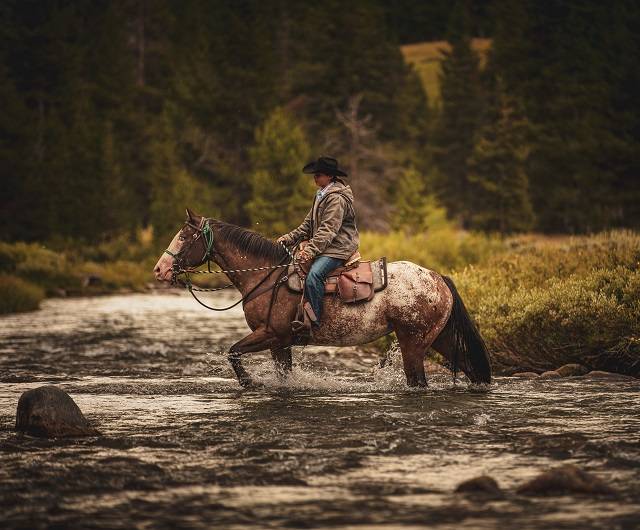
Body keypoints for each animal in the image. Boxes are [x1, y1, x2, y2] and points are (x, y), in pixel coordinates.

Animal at [152, 208, 492, 386]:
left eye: (184, 237)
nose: (159, 269)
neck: (266, 277)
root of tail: (438, 278)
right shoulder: (280, 343)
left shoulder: (271, 334)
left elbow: (232, 352)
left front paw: (249, 383)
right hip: (440, 338)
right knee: (470, 367)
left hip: (413, 343)